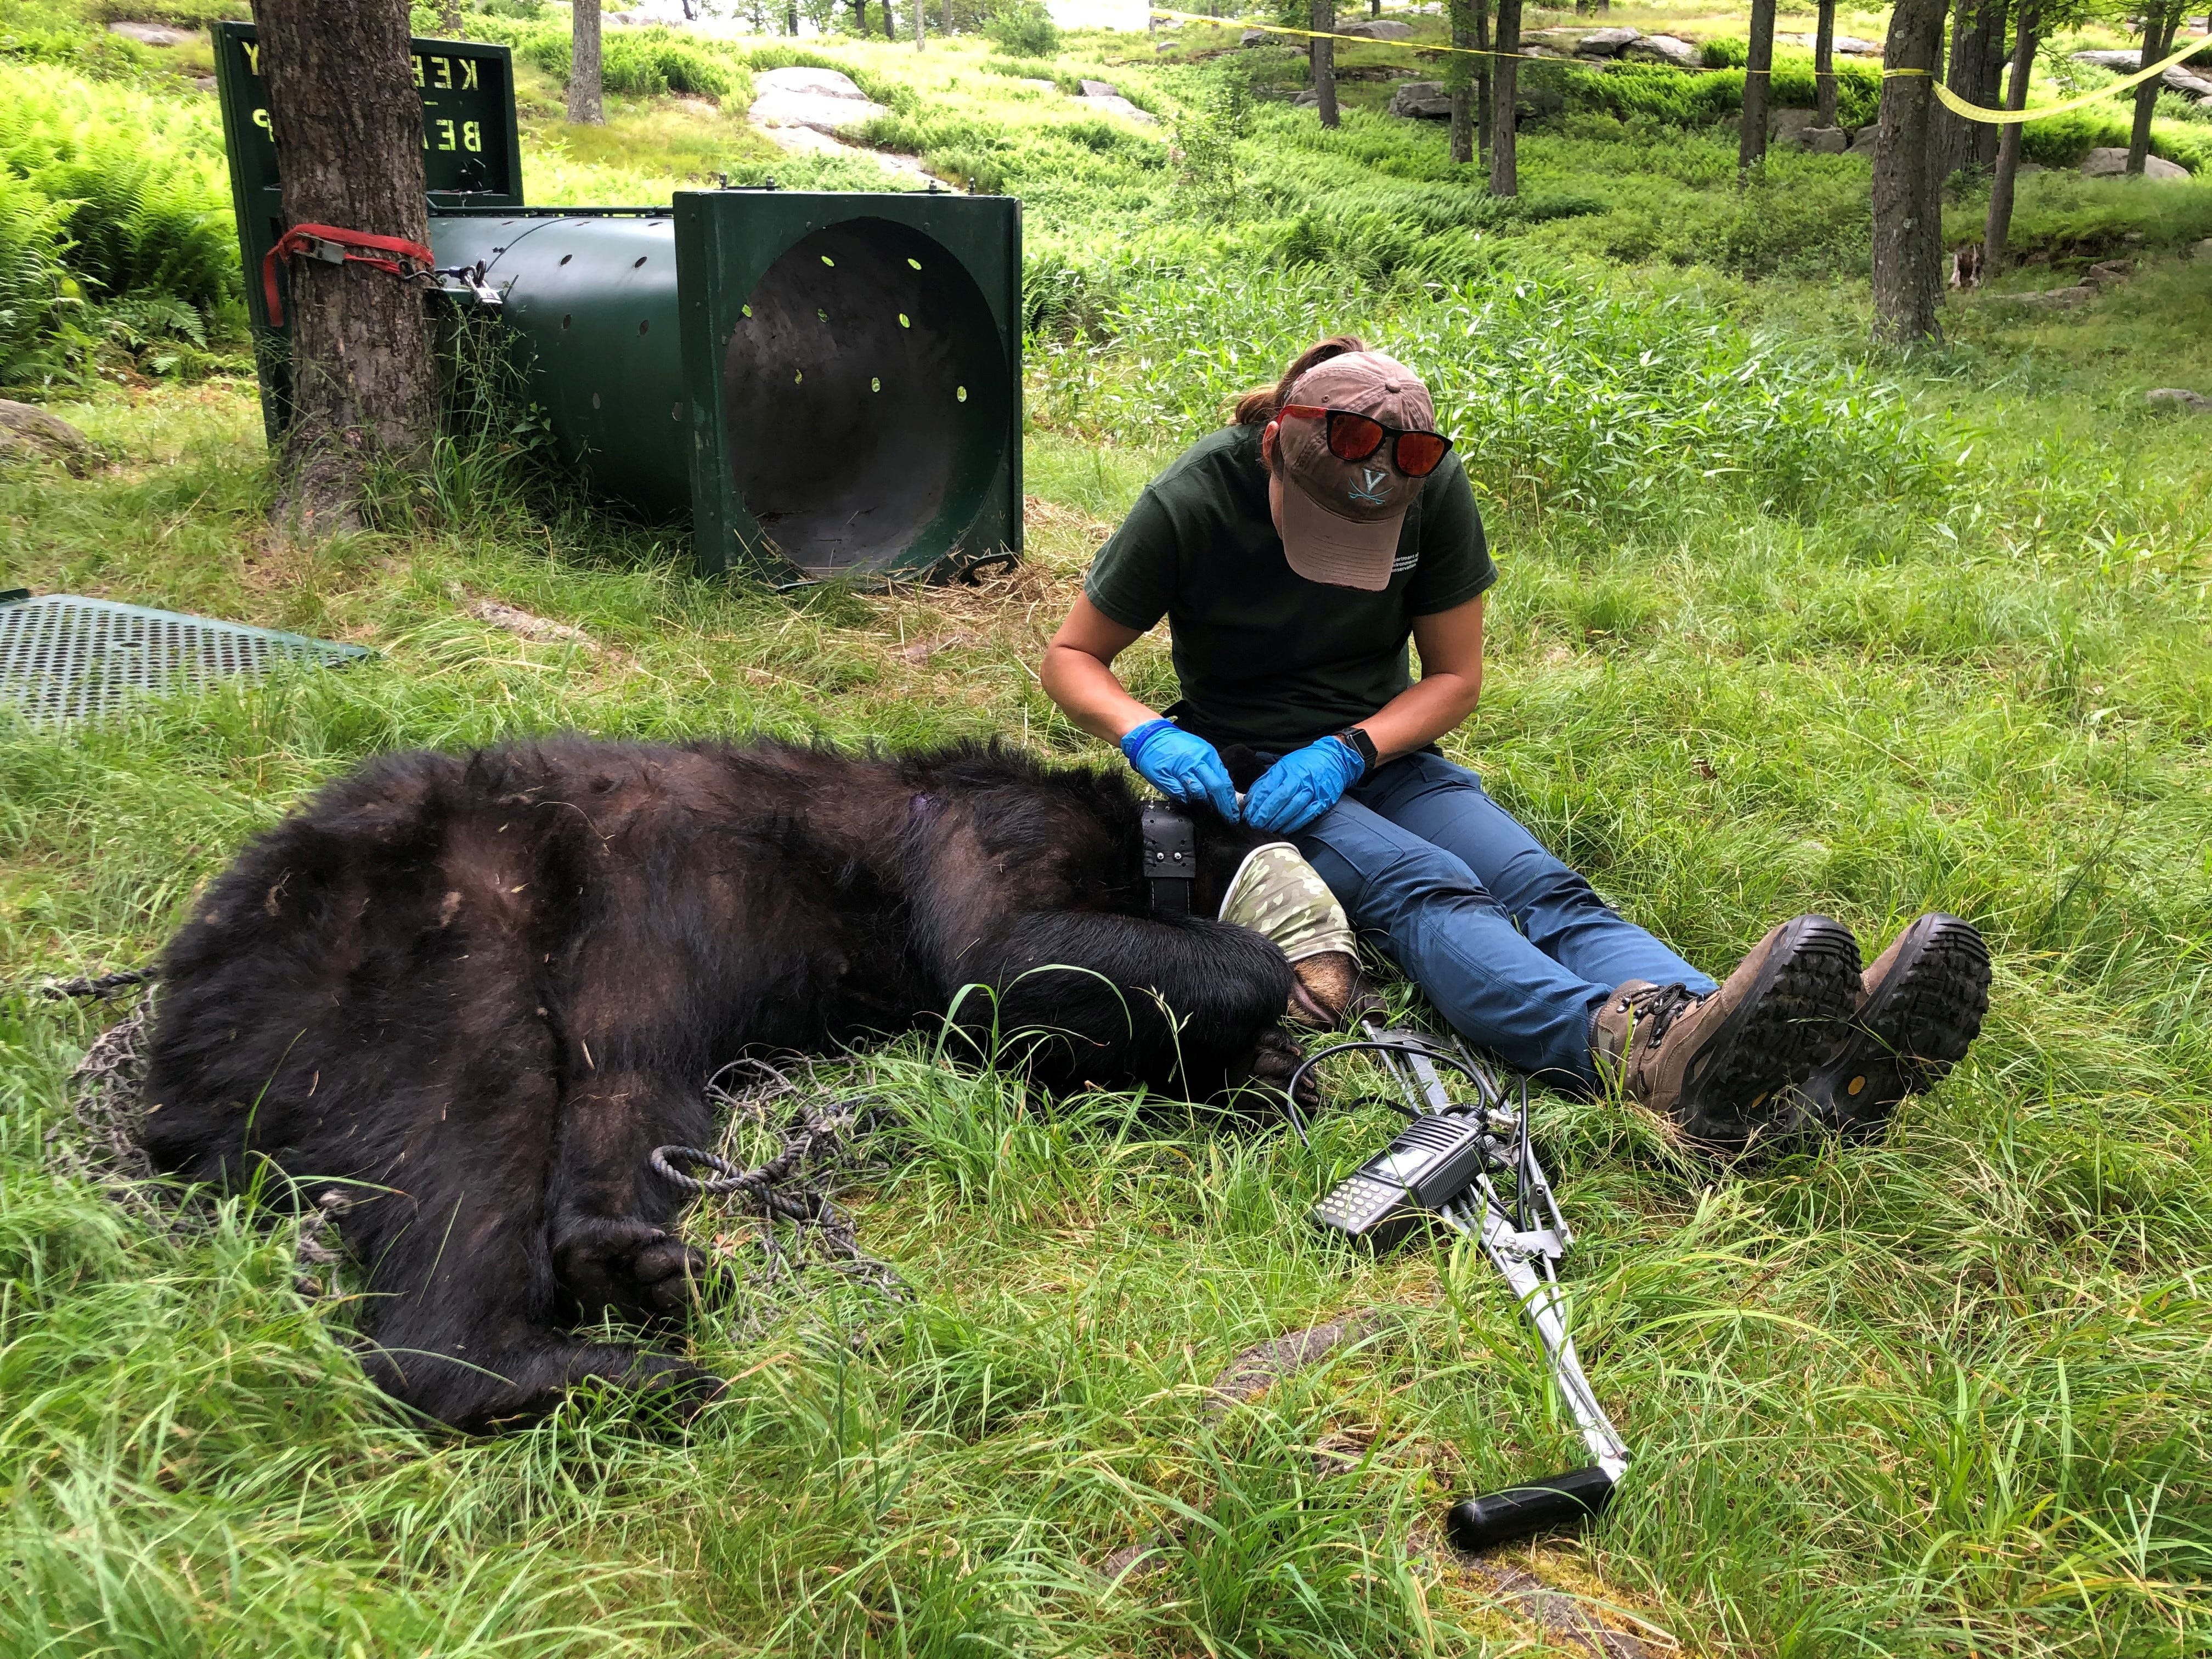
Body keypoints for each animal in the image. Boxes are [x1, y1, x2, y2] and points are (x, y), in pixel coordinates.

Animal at [147, 738, 1318, 1433]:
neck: (1150, 845)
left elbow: (1055, 1042)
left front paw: (1259, 1074)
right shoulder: (993, 834)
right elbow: (1006, 957)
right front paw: (1270, 1009)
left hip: (592, 995)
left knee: (619, 1092)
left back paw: (627, 1269)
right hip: (418, 942)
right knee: (468, 1123)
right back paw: (558, 1369)